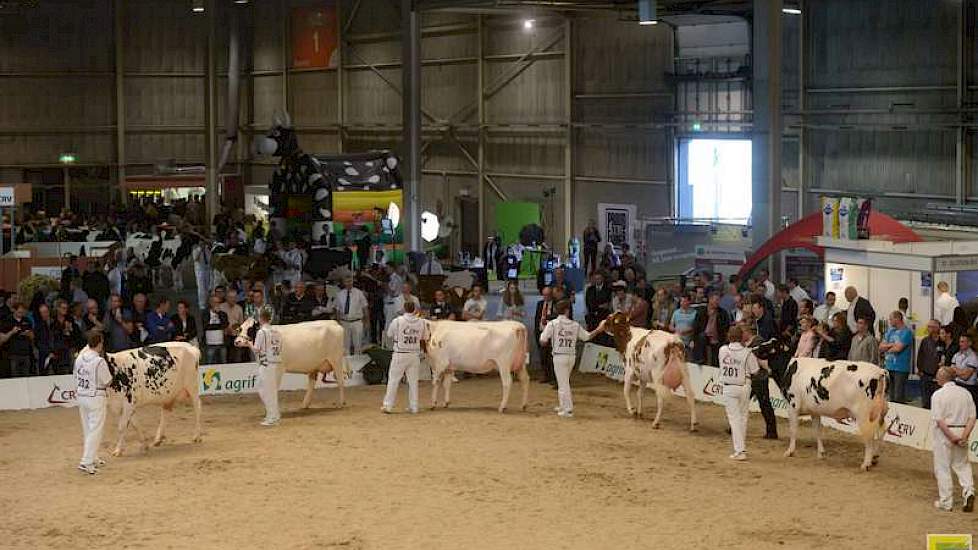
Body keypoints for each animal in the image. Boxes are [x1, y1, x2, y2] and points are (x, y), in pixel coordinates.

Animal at [752, 338, 888, 472]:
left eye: (769, 345)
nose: (753, 348)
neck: (787, 368)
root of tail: (879, 371)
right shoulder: (814, 410)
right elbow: (817, 430)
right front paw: (821, 453)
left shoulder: (792, 405)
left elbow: (793, 430)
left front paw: (790, 451)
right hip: (879, 412)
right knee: (881, 430)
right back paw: (875, 457)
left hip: (862, 414)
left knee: (869, 436)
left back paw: (866, 464)